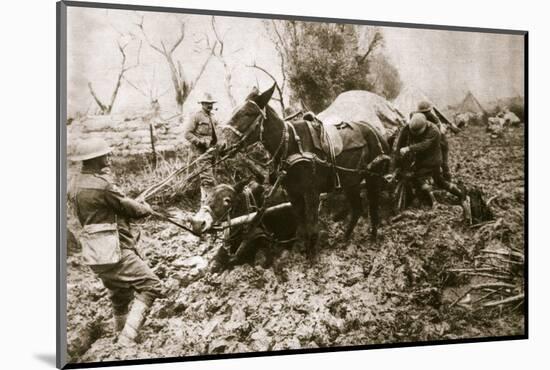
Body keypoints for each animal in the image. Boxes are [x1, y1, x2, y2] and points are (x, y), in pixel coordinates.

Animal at [221, 85, 392, 260]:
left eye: (248, 113)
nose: (222, 145)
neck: (290, 145)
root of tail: (376, 132)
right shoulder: (293, 194)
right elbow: (302, 226)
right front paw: (303, 252)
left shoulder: (311, 192)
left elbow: (312, 225)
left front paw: (312, 255)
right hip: (351, 181)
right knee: (357, 208)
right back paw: (345, 239)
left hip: (372, 176)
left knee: (373, 205)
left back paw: (373, 237)